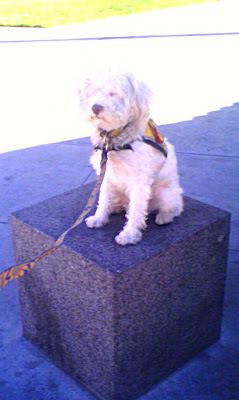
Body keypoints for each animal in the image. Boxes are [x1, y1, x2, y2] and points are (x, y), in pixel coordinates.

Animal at [78, 70, 183, 245]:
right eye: (93, 92)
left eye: (114, 93)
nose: (95, 107)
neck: (114, 139)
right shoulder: (107, 175)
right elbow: (103, 198)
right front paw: (99, 218)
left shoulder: (139, 180)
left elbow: (135, 211)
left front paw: (129, 234)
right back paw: (114, 208)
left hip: (166, 193)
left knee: (175, 207)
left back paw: (164, 216)